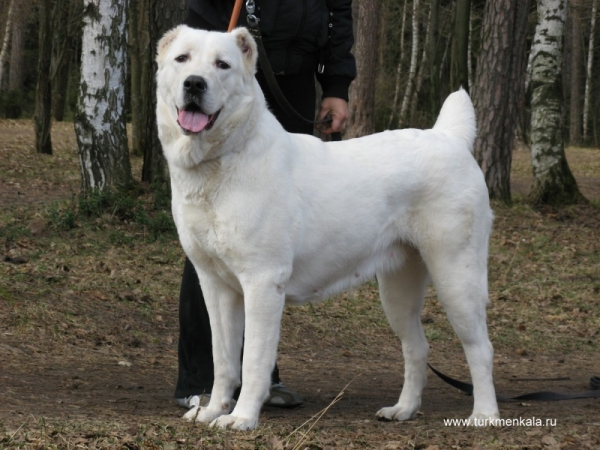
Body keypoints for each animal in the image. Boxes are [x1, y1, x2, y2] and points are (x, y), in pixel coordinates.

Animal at [156, 25, 502, 432]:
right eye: (182, 59)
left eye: (222, 65)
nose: (195, 83)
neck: (224, 159)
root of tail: (450, 138)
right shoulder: (215, 286)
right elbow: (224, 357)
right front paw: (213, 410)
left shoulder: (262, 283)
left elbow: (253, 358)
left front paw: (241, 417)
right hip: (398, 289)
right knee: (417, 347)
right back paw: (403, 409)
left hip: (457, 278)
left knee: (480, 348)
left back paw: (485, 414)